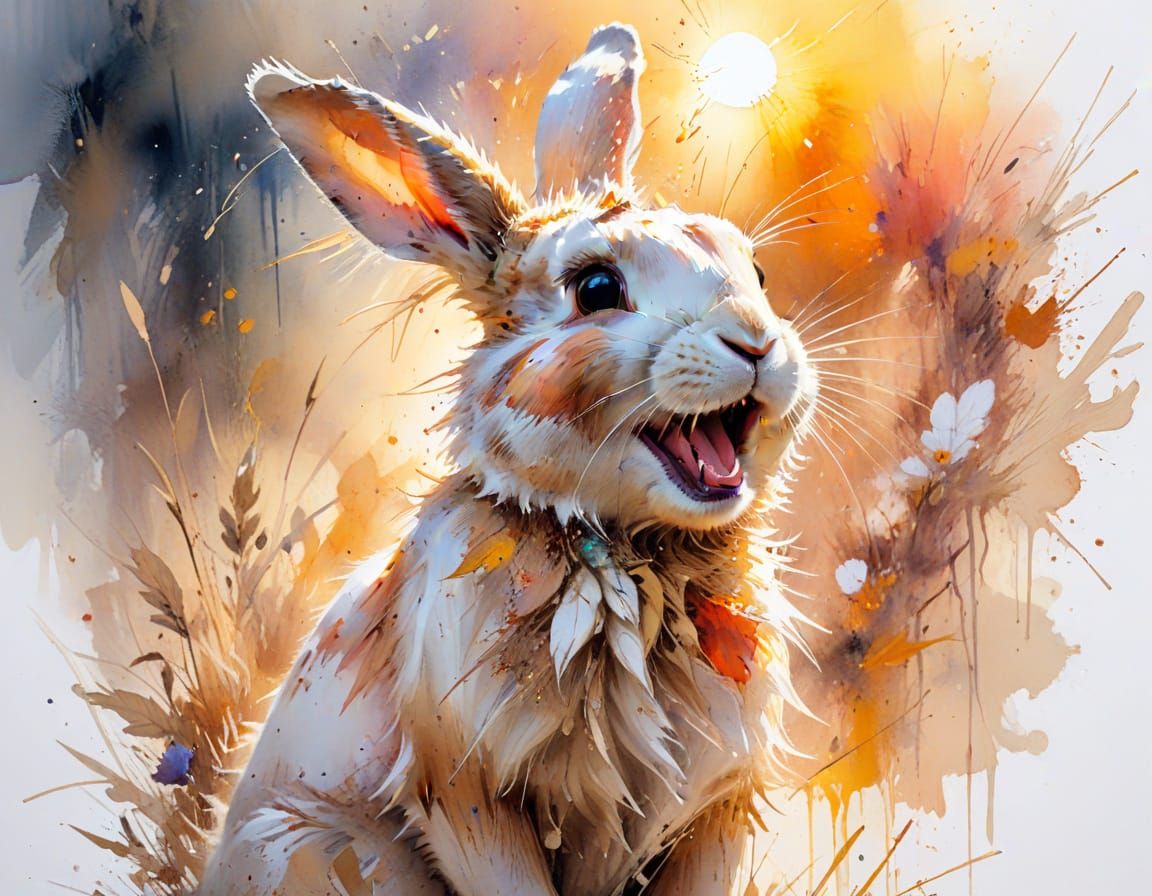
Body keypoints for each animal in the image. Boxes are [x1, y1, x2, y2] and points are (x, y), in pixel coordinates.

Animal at [200, 22, 817, 896]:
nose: (758, 343)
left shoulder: (715, 810)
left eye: (755, 271)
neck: (629, 553)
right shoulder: (466, 789)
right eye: (597, 288)